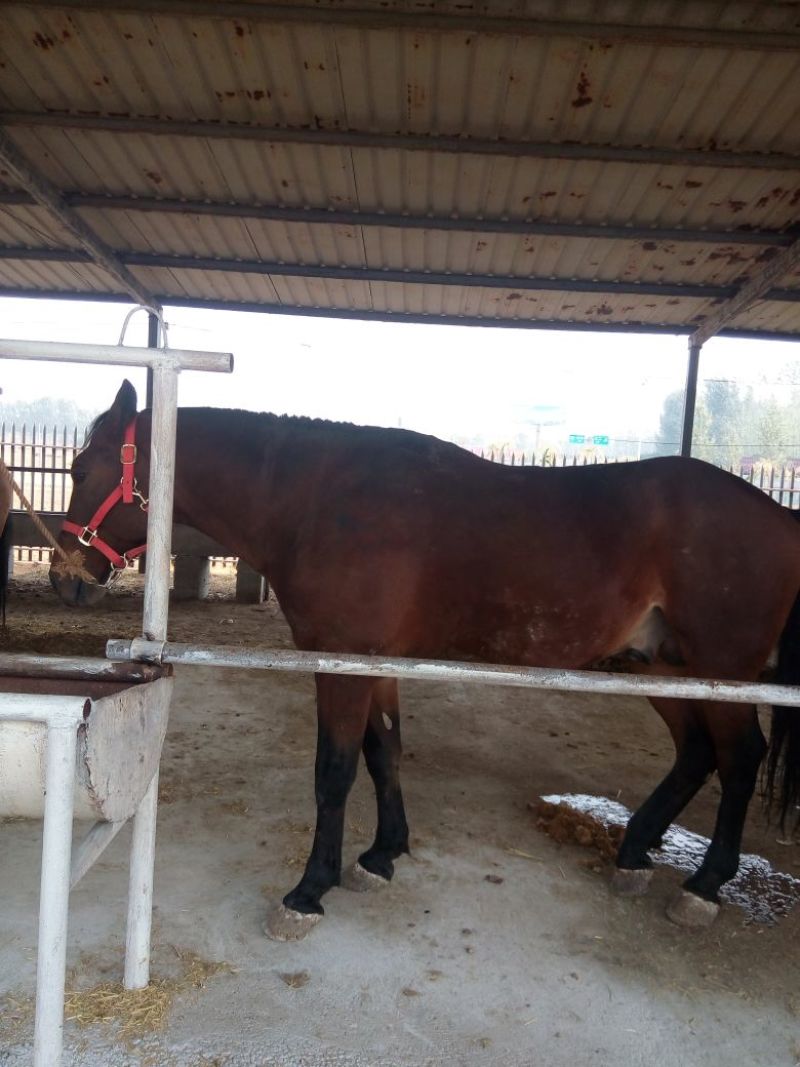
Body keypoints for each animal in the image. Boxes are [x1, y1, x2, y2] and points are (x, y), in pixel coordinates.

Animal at [50, 380, 800, 940]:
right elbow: (385, 753)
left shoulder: (342, 663)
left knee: (739, 757)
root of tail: (776, 514)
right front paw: (382, 855)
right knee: (698, 752)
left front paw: (309, 890)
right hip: (663, 665)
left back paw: (704, 885)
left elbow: (334, 771)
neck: (320, 499)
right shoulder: (376, 665)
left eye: (81, 469)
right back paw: (638, 850)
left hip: (720, 668)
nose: (66, 576)